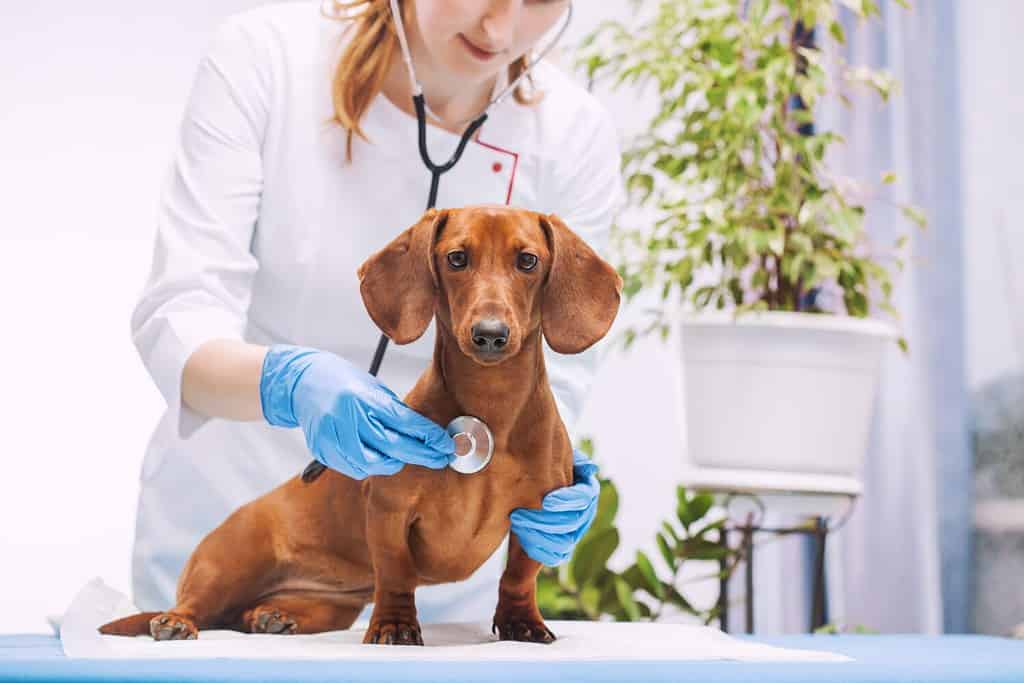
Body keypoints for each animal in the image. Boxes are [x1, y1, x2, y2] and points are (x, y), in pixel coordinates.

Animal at [99, 204, 618, 647]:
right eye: (457, 258)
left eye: (528, 261)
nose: (490, 334)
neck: (493, 409)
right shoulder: (389, 511)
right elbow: (396, 573)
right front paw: (394, 625)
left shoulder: (539, 516)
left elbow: (518, 576)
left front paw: (521, 623)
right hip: (225, 566)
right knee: (196, 606)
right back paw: (175, 622)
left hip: (332, 603)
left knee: (253, 614)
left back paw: (273, 615)